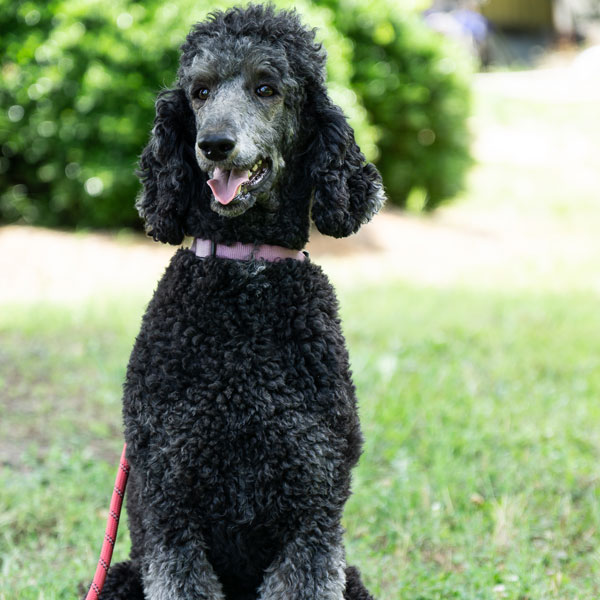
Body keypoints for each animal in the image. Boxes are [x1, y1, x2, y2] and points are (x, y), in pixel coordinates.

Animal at [98, 5, 384, 600]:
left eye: (266, 87)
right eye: (200, 92)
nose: (215, 144)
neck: (244, 274)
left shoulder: (312, 510)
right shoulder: (170, 506)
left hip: (350, 575)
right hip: (121, 573)